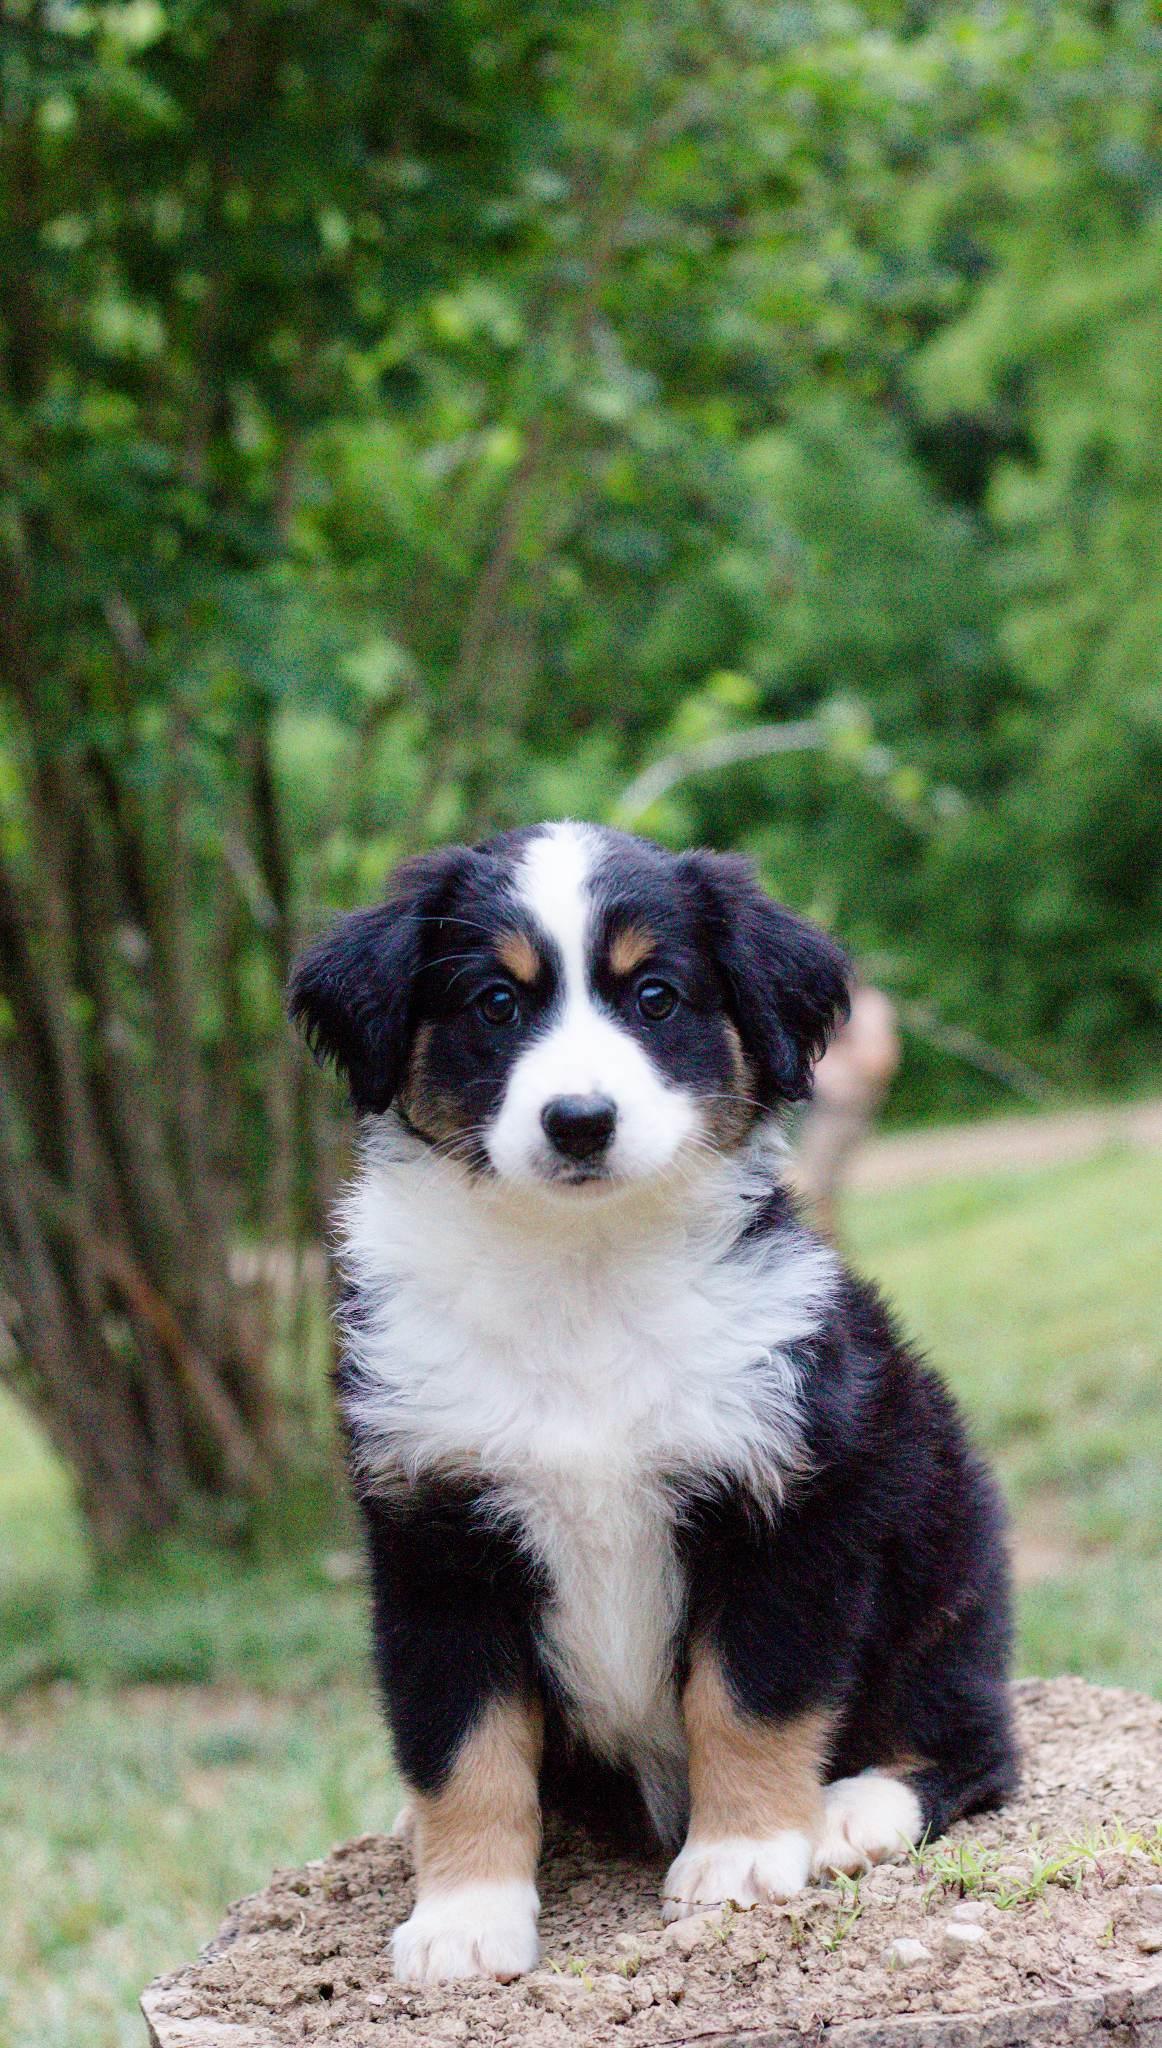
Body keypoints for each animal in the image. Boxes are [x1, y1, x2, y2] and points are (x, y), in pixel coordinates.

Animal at [290, 821, 1017, 1987]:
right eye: (497, 1002)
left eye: (656, 996)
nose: (580, 1121)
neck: (582, 1273)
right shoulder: (433, 1533)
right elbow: (462, 1742)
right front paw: (464, 1914)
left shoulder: (793, 1500)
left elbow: (747, 1694)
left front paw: (743, 1853)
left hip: (945, 1556)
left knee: (975, 1736)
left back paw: (853, 1809)